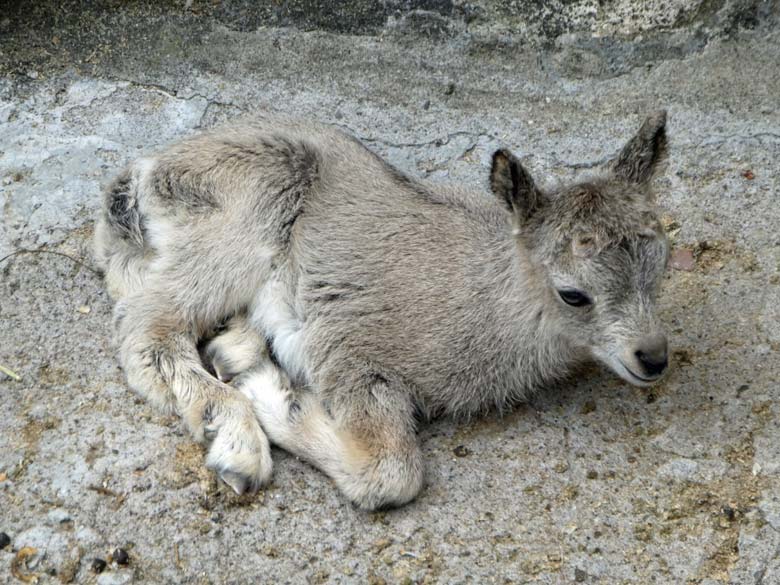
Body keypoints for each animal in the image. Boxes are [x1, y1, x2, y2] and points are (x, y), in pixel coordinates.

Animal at [96, 110, 672, 506]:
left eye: (662, 263)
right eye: (573, 293)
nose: (652, 357)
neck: (484, 301)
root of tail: (144, 175)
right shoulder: (352, 352)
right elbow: (389, 474)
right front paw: (265, 389)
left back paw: (235, 346)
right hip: (246, 220)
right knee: (146, 326)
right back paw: (238, 440)